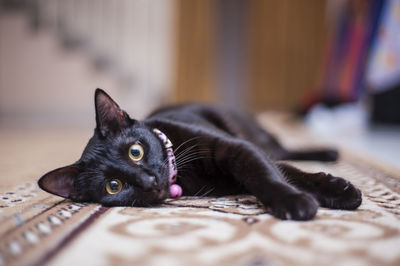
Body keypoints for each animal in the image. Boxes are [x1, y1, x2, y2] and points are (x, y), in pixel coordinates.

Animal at [38, 89, 362, 220]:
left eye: (135, 151)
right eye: (113, 186)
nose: (148, 179)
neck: (183, 170)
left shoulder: (239, 149)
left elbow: (269, 175)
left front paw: (327, 193)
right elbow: (283, 173)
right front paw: (310, 197)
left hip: (256, 136)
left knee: (282, 148)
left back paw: (329, 151)